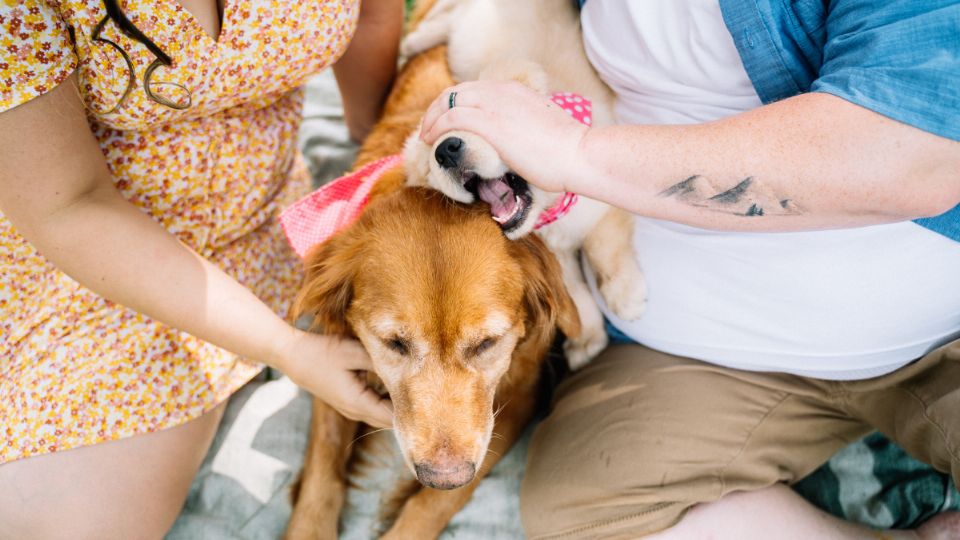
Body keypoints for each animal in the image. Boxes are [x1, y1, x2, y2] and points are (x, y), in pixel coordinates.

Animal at [284, 41, 576, 540]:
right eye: (394, 344)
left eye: (488, 344)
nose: (443, 473)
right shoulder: (334, 355)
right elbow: (324, 462)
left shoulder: (521, 396)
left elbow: (435, 503)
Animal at [402, 0, 648, 372]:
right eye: (431, 158)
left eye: (473, 122)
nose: (445, 150)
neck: (548, 212)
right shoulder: (555, 258)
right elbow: (575, 296)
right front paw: (588, 339)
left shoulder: (604, 203)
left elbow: (606, 250)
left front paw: (626, 296)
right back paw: (412, 43)